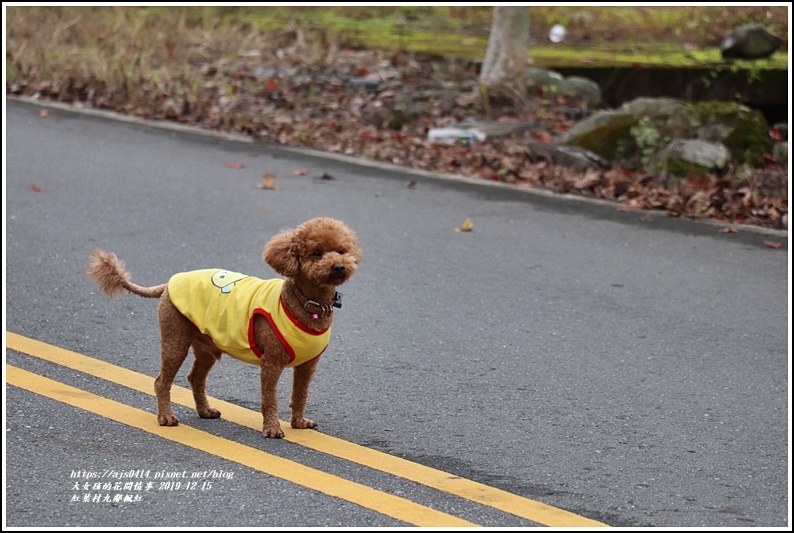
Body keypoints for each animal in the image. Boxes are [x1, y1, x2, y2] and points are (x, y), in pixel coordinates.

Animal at [86, 216, 358, 436]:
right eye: (316, 253)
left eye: (341, 250)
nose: (339, 266)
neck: (306, 303)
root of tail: (167, 284)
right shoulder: (272, 362)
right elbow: (269, 398)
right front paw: (272, 429)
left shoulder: (308, 365)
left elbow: (300, 395)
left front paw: (299, 423)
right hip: (175, 340)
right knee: (161, 381)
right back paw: (165, 417)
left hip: (207, 347)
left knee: (195, 378)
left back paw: (205, 411)